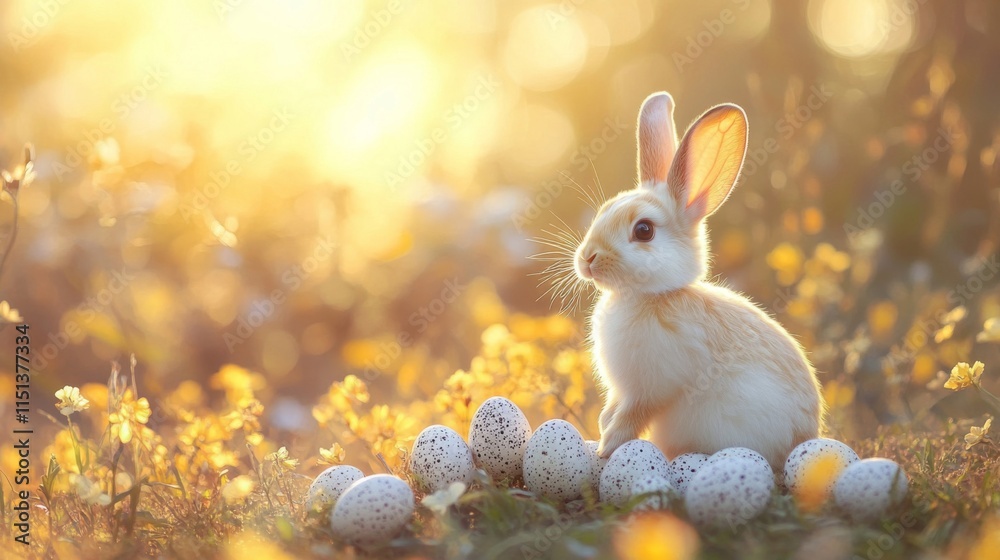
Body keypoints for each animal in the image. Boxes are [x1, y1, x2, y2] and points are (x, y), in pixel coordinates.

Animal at [576, 92, 825, 469]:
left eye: (644, 230)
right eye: (604, 210)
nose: (587, 258)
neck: (646, 296)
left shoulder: (651, 389)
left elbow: (630, 418)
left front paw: (606, 449)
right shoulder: (623, 391)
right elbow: (612, 410)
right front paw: (601, 431)